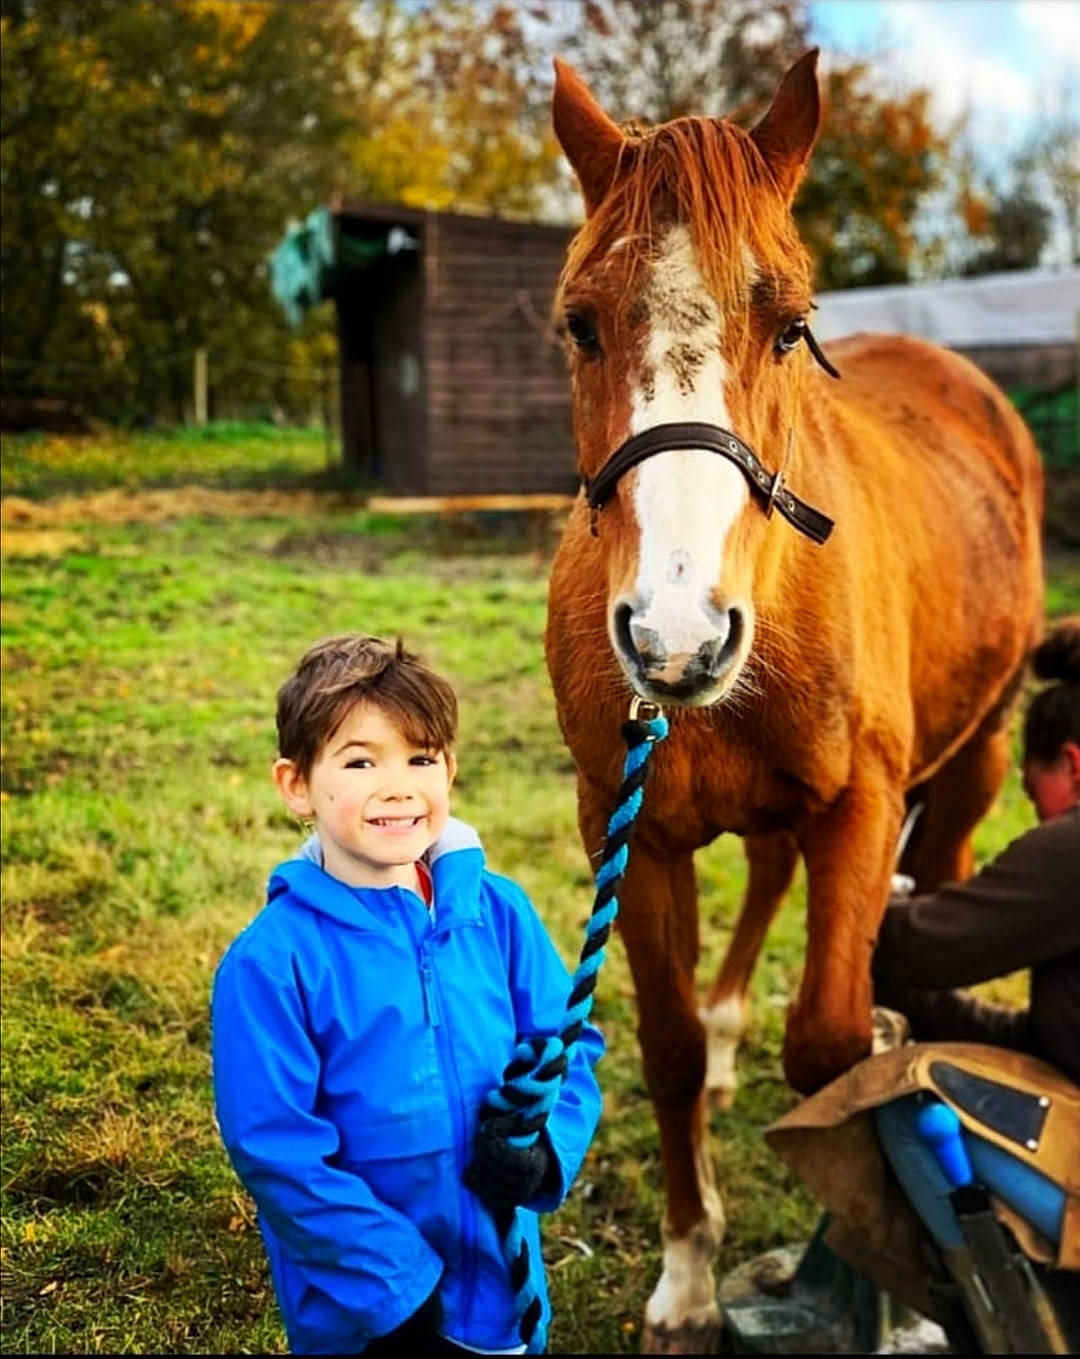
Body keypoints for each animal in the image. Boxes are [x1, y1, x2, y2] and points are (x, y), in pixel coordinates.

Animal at [544, 50, 1044, 1352]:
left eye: (791, 327)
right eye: (580, 324)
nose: (675, 633)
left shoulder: (862, 806)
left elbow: (830, 1044)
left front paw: (903, 1291)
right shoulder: (629, 825)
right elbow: (667, 1048)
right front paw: (687, 1275)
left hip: (975, 758)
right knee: (765, 875)